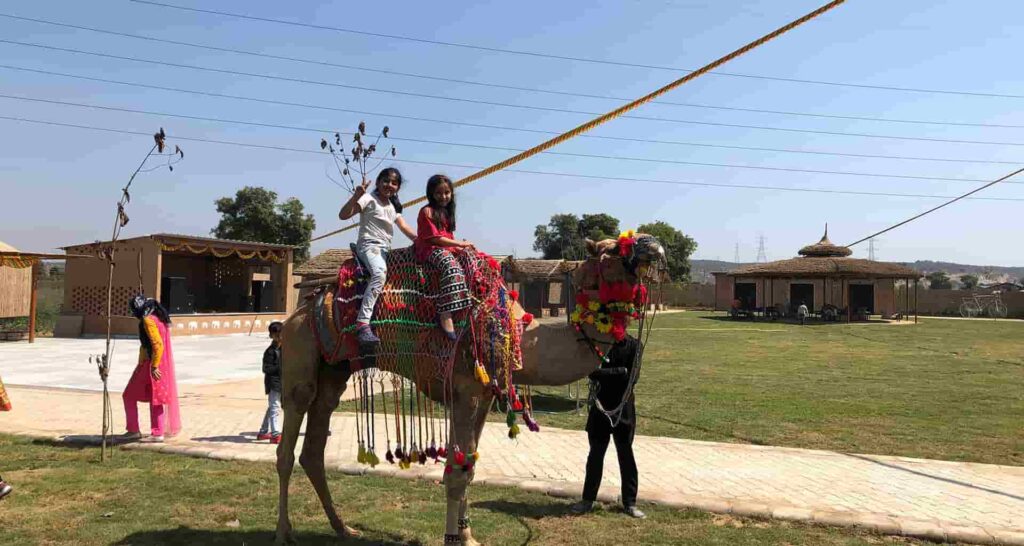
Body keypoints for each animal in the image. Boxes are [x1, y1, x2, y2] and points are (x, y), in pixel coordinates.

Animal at [274, 234, 663, 544]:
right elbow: (456, 472)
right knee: (288, 444)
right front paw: (453, 538)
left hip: (334, 370)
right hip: (300, 356)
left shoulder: (484, 396)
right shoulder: (464, 392)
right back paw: (283, 533)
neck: (515, 335)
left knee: (314, 447)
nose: (655, 245)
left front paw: (468, 535)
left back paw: (343, 528)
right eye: (614, 249)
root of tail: (301, 310)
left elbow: (470, 465)